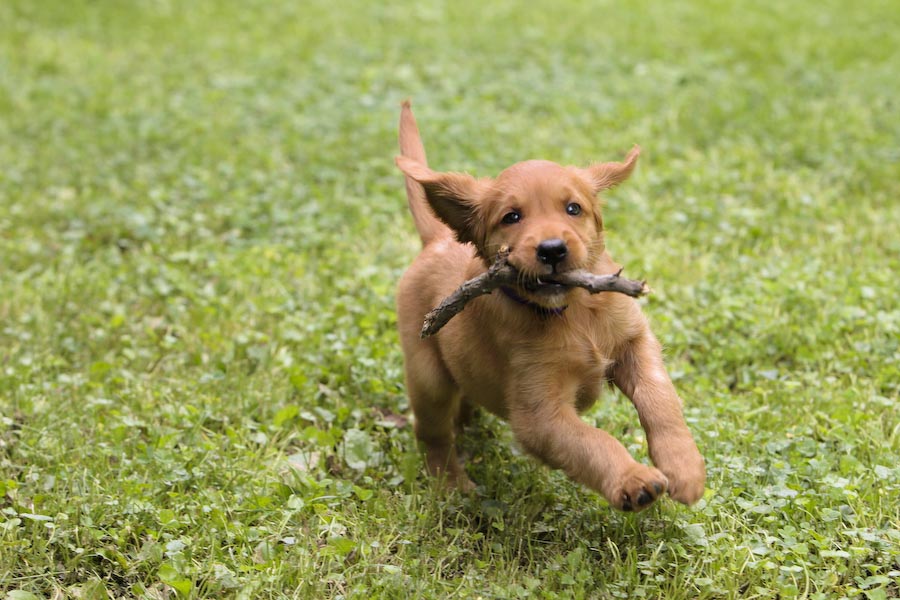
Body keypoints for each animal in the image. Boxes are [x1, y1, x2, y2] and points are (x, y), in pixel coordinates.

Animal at [394, 102, 704, 510]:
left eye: (573, 208)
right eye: (511, 217)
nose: (553, 250)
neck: (573, 313)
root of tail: (437, 239)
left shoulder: (635, 342)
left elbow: (660, 396)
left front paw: (684, 466)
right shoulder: (539, 415)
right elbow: (593, 442)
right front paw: (633, 479)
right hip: (427, 375)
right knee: (432, 434)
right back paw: (452, 485)